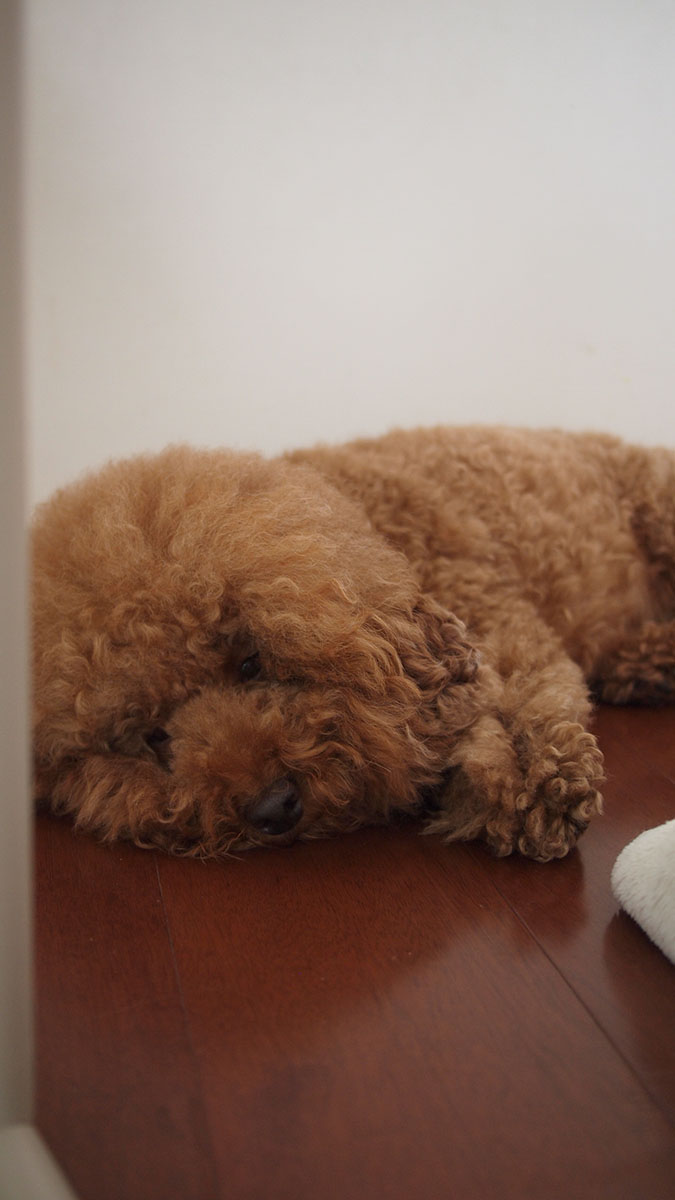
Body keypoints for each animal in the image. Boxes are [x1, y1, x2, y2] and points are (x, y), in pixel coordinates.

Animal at [31, 425, 675, 862]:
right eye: (153, 737)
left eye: (250, 662)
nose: (273, 807)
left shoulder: (500, 625)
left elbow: (525, 698)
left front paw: (528, 781)